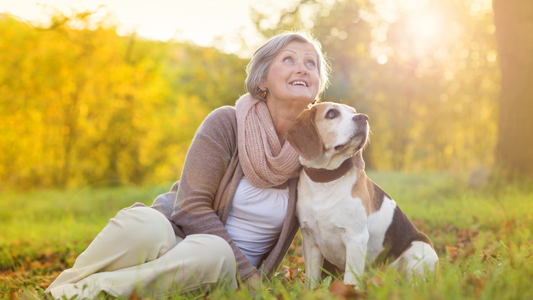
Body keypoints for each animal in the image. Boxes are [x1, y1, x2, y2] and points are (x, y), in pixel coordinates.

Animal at [286, 102, 436, 288]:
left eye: (354, 112)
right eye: (332, 113)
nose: (363, 118)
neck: (326, 181)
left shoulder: (356, 239)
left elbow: (350, 280)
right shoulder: (310, 241)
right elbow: (311, 281)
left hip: (418, 251)